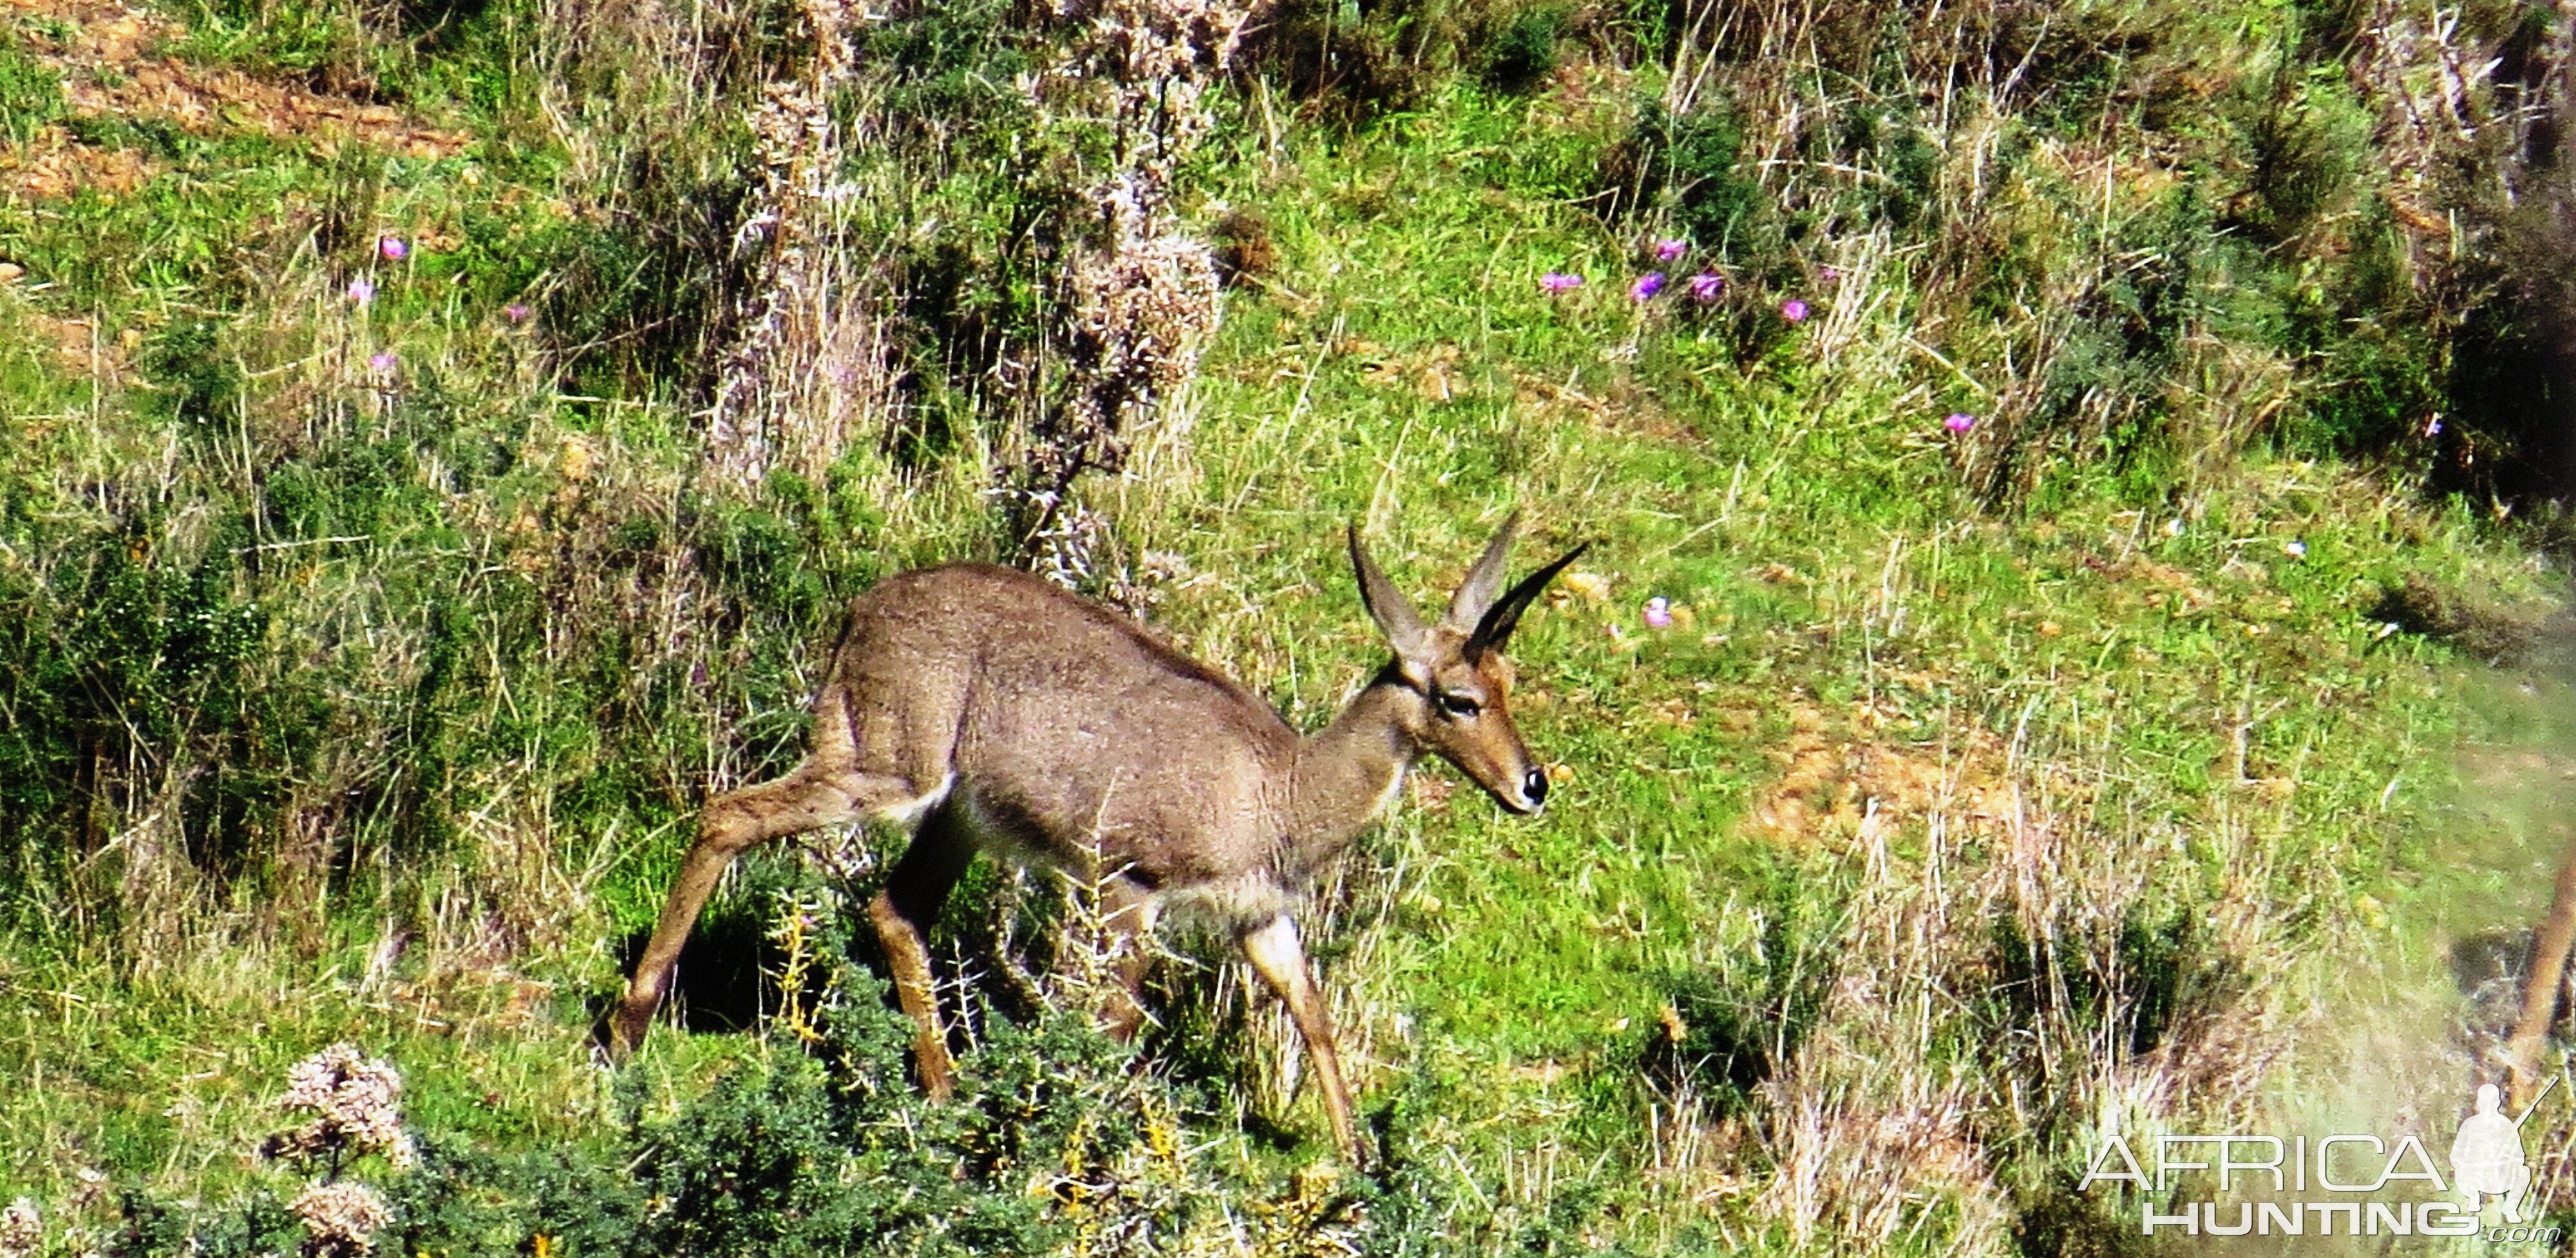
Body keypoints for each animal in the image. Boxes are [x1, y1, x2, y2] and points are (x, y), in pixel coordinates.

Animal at [618, 515, 1587, 1165]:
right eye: (1459, 699)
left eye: (1509, 682)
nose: (1532, 786)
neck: (1280, 786)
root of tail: (862, 610)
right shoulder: (1127, 887)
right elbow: (1114, 1025)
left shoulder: (1257, 916)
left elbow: (1311, 1010)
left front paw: (1356, 1163)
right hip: (885, 772)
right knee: (729, 813)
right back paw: (627, 1029)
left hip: (958, 817)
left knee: (894, 908)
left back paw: (945, 1090)